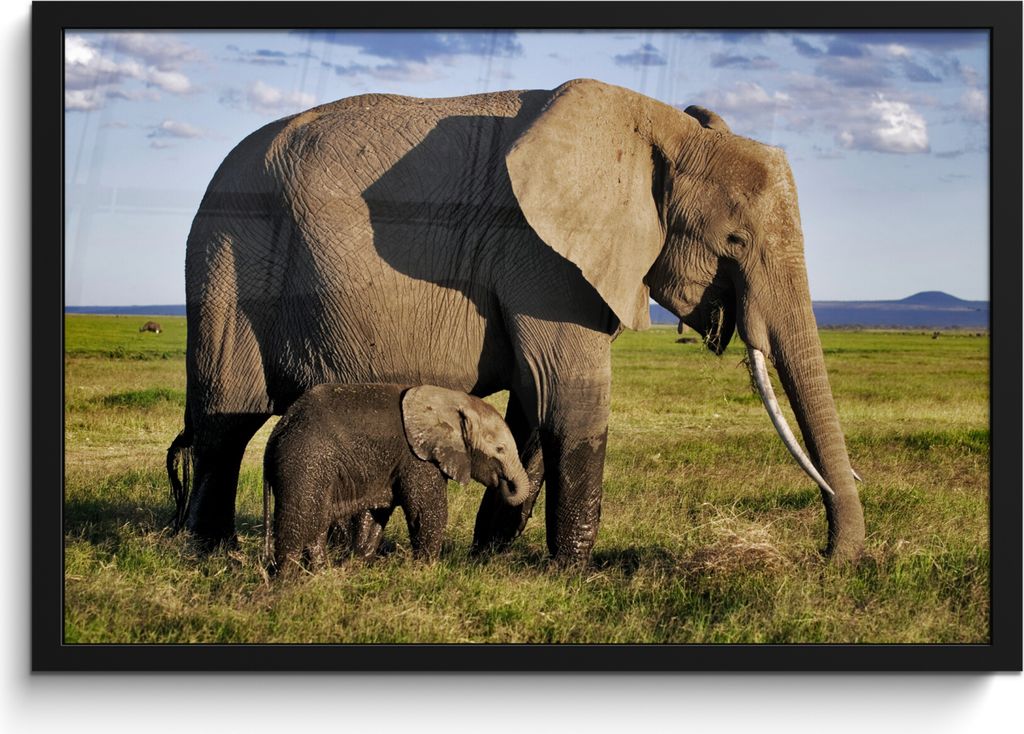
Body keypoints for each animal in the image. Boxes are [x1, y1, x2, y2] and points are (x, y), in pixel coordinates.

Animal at [262, 383, 531, 577]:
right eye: (499, 449)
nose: (504, 484)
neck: (453, 400)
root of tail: (277, 432)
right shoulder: (417, 458)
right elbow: (427, 511)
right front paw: (427, 571)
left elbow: (376, 514)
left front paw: (358, 565)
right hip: (304, 462)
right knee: (300, 521)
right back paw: (287, 582)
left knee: (317, 523)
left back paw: (321, 574)